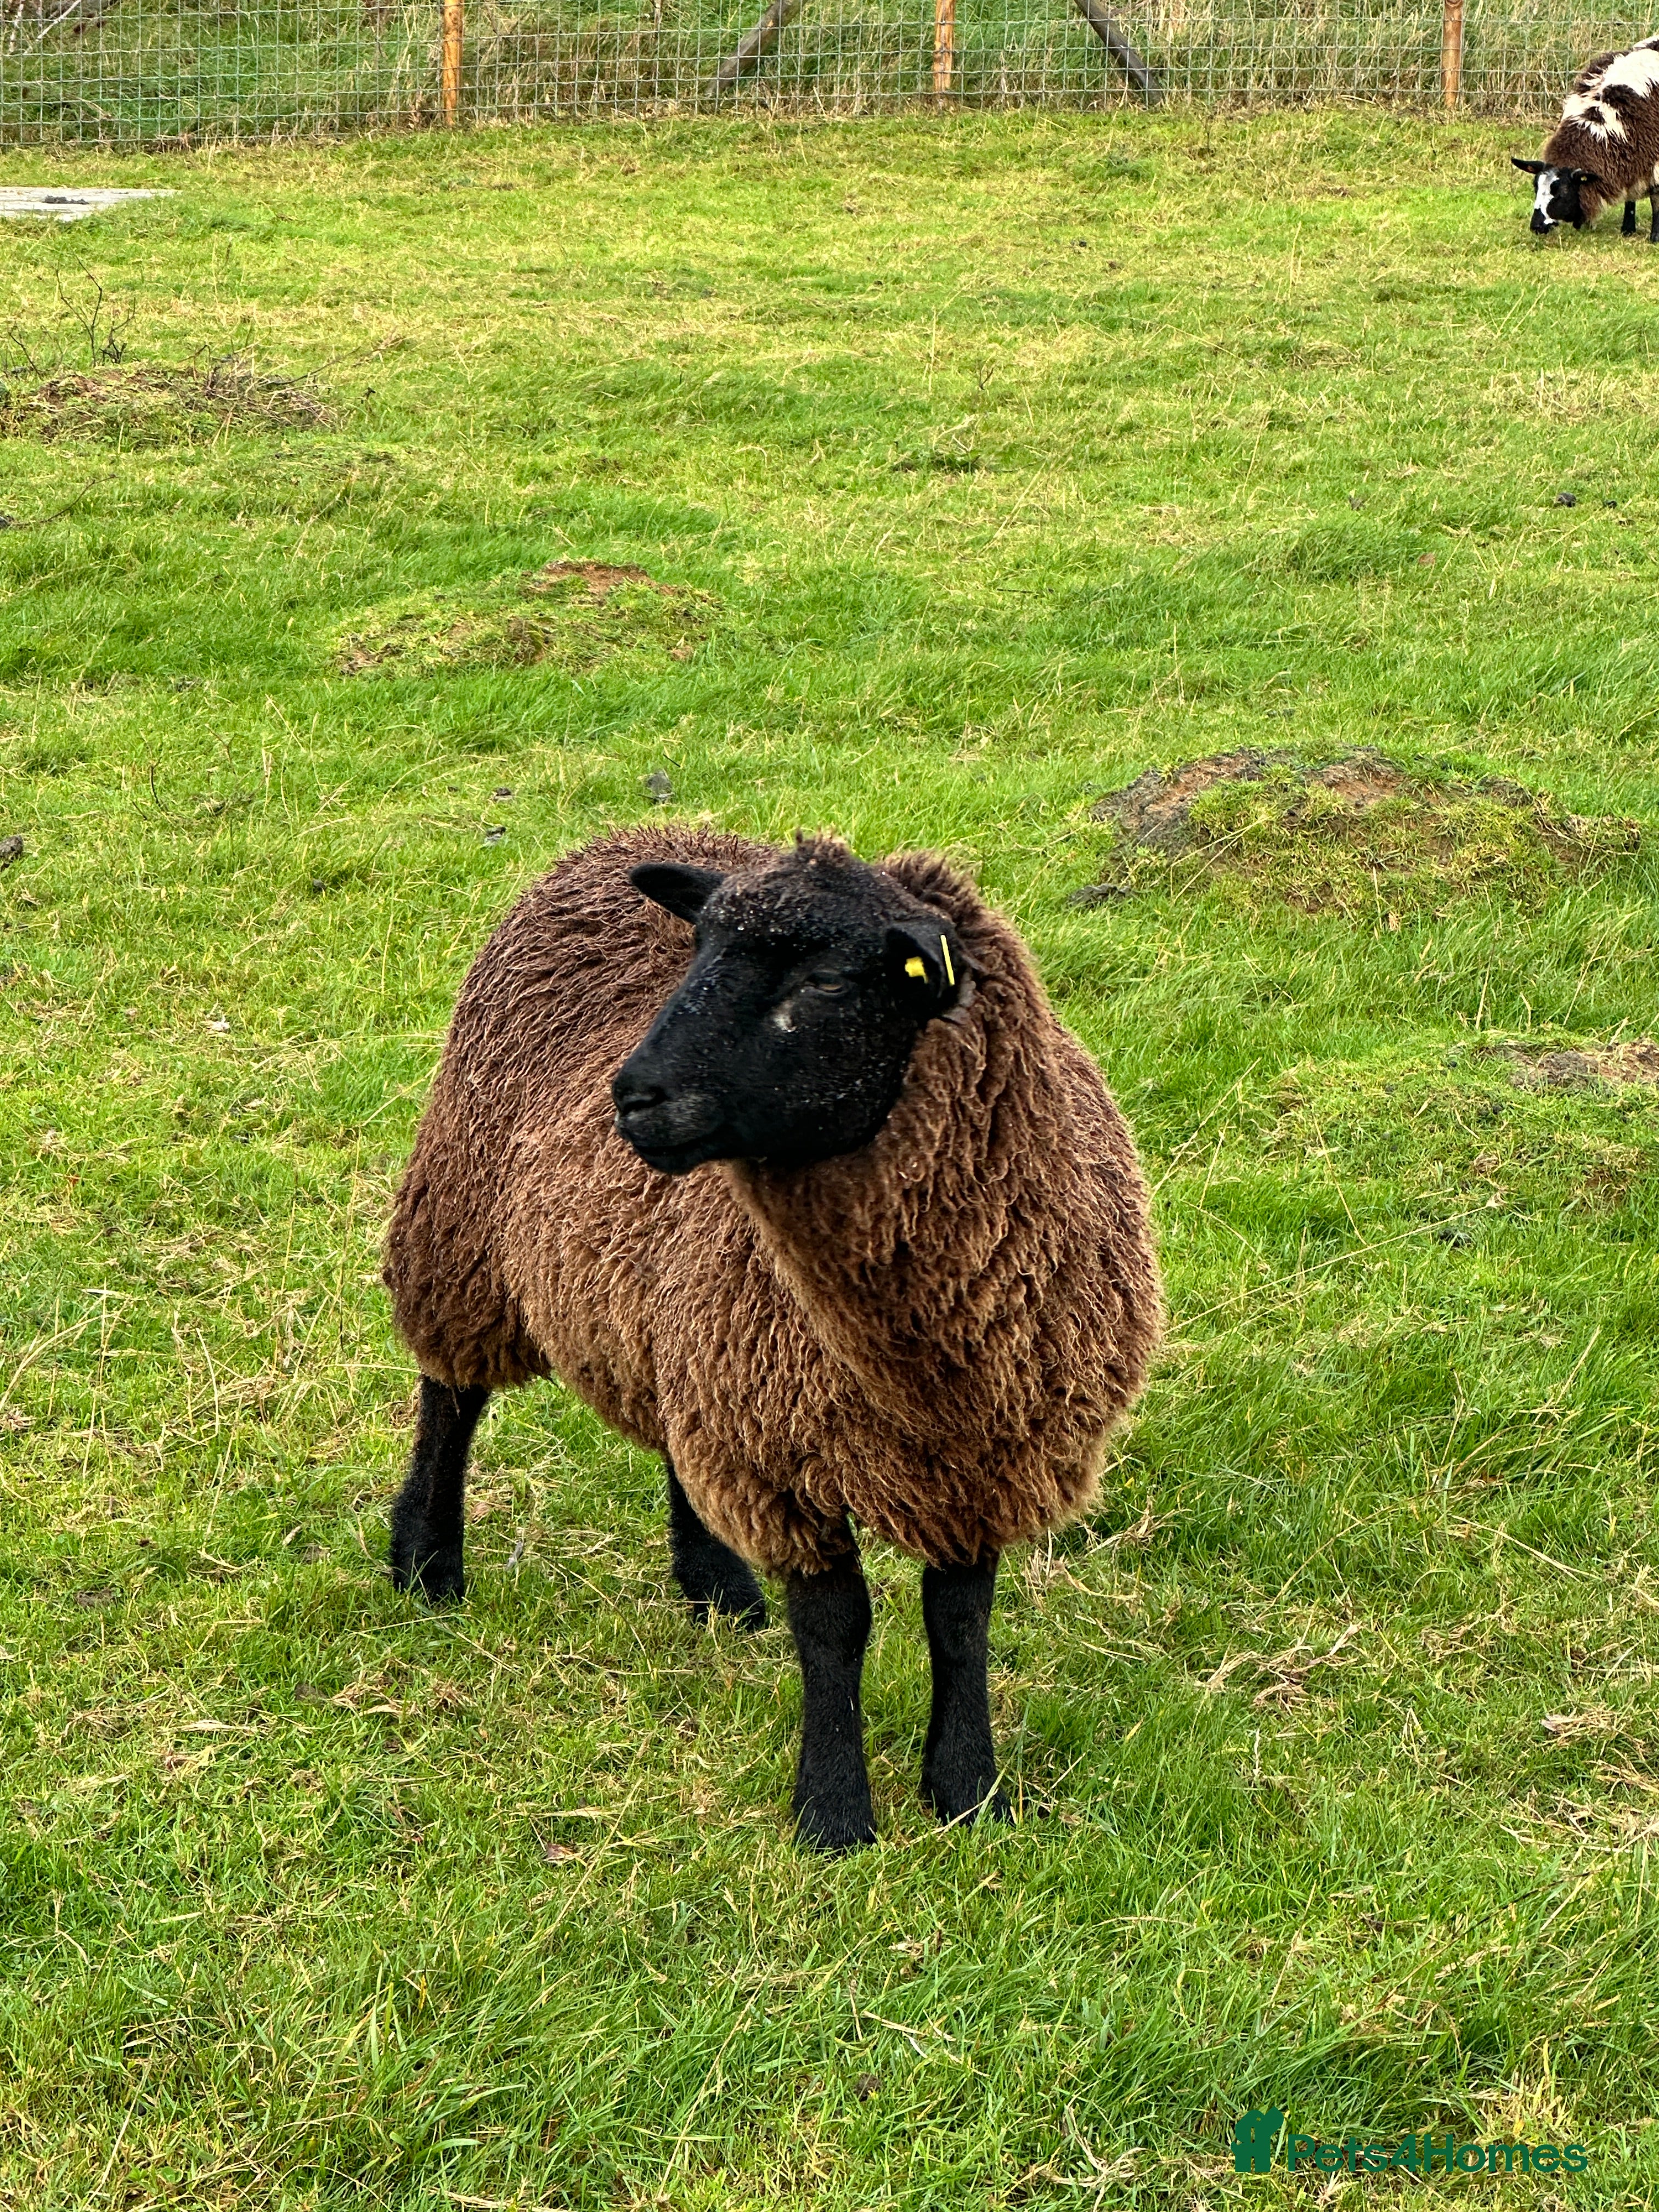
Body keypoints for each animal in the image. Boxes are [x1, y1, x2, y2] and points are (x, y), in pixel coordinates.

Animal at [382, 827, 1162, 1850]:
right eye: (703, 950)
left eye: (827, 980)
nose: (633, 1098)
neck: (912, 1361)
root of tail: (627, 838)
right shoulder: (789, 1458)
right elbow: (836, 1627)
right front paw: (833, 1814)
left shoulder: (986, 1453)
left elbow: (959, 1619)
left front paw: (968, 1793)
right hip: (463, 1220)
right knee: (452, 1394)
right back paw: (427, 1563)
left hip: (686, 1324)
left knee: (669, 1425)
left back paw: (716, 1587)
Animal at [1514, 37, 1659, 241]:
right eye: (1535, 187)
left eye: (1562, 192)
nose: (1536, 226)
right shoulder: (1632, 158)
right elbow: (1630, 196)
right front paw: (1627, 230)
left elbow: (1655, 198)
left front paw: (1655, 237)